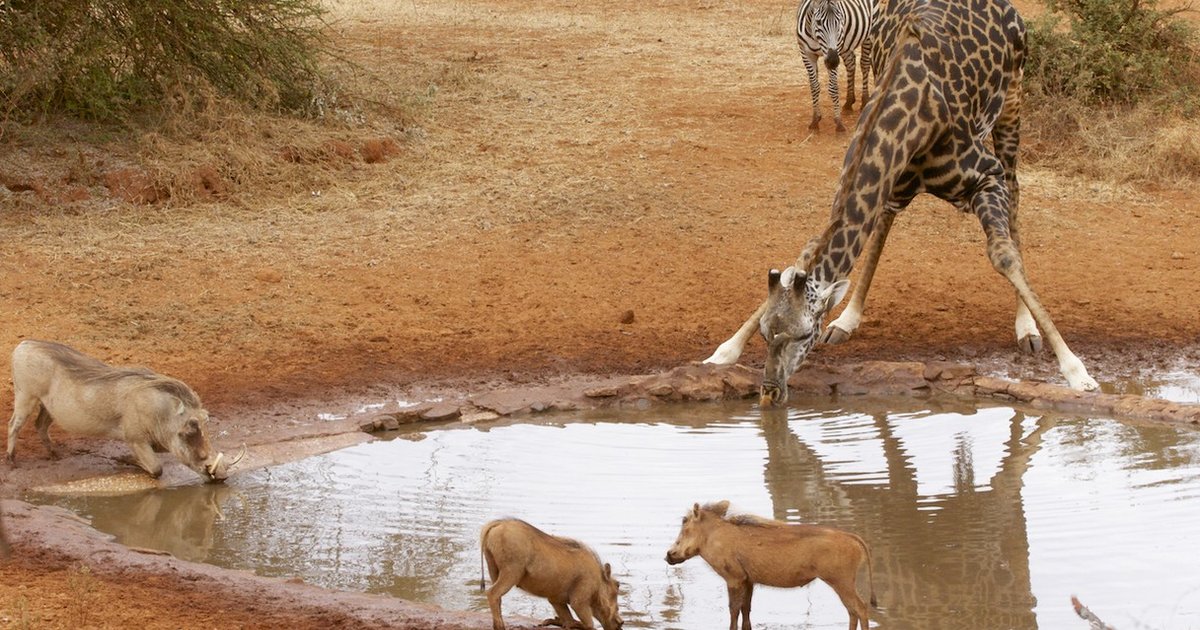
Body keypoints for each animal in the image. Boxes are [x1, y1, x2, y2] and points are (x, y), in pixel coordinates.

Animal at [796, 0, 883, 131]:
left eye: (840, 21)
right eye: (818, 22)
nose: (832, 61)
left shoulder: (836, 48)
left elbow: (833, 88)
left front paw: (838, 122)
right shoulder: (806, 54)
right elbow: (814, 86)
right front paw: (815, 119)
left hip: (870, 32)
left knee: (864, 64)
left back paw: (864, 101)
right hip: (845, 47)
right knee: (851, 63)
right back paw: (849, 102)